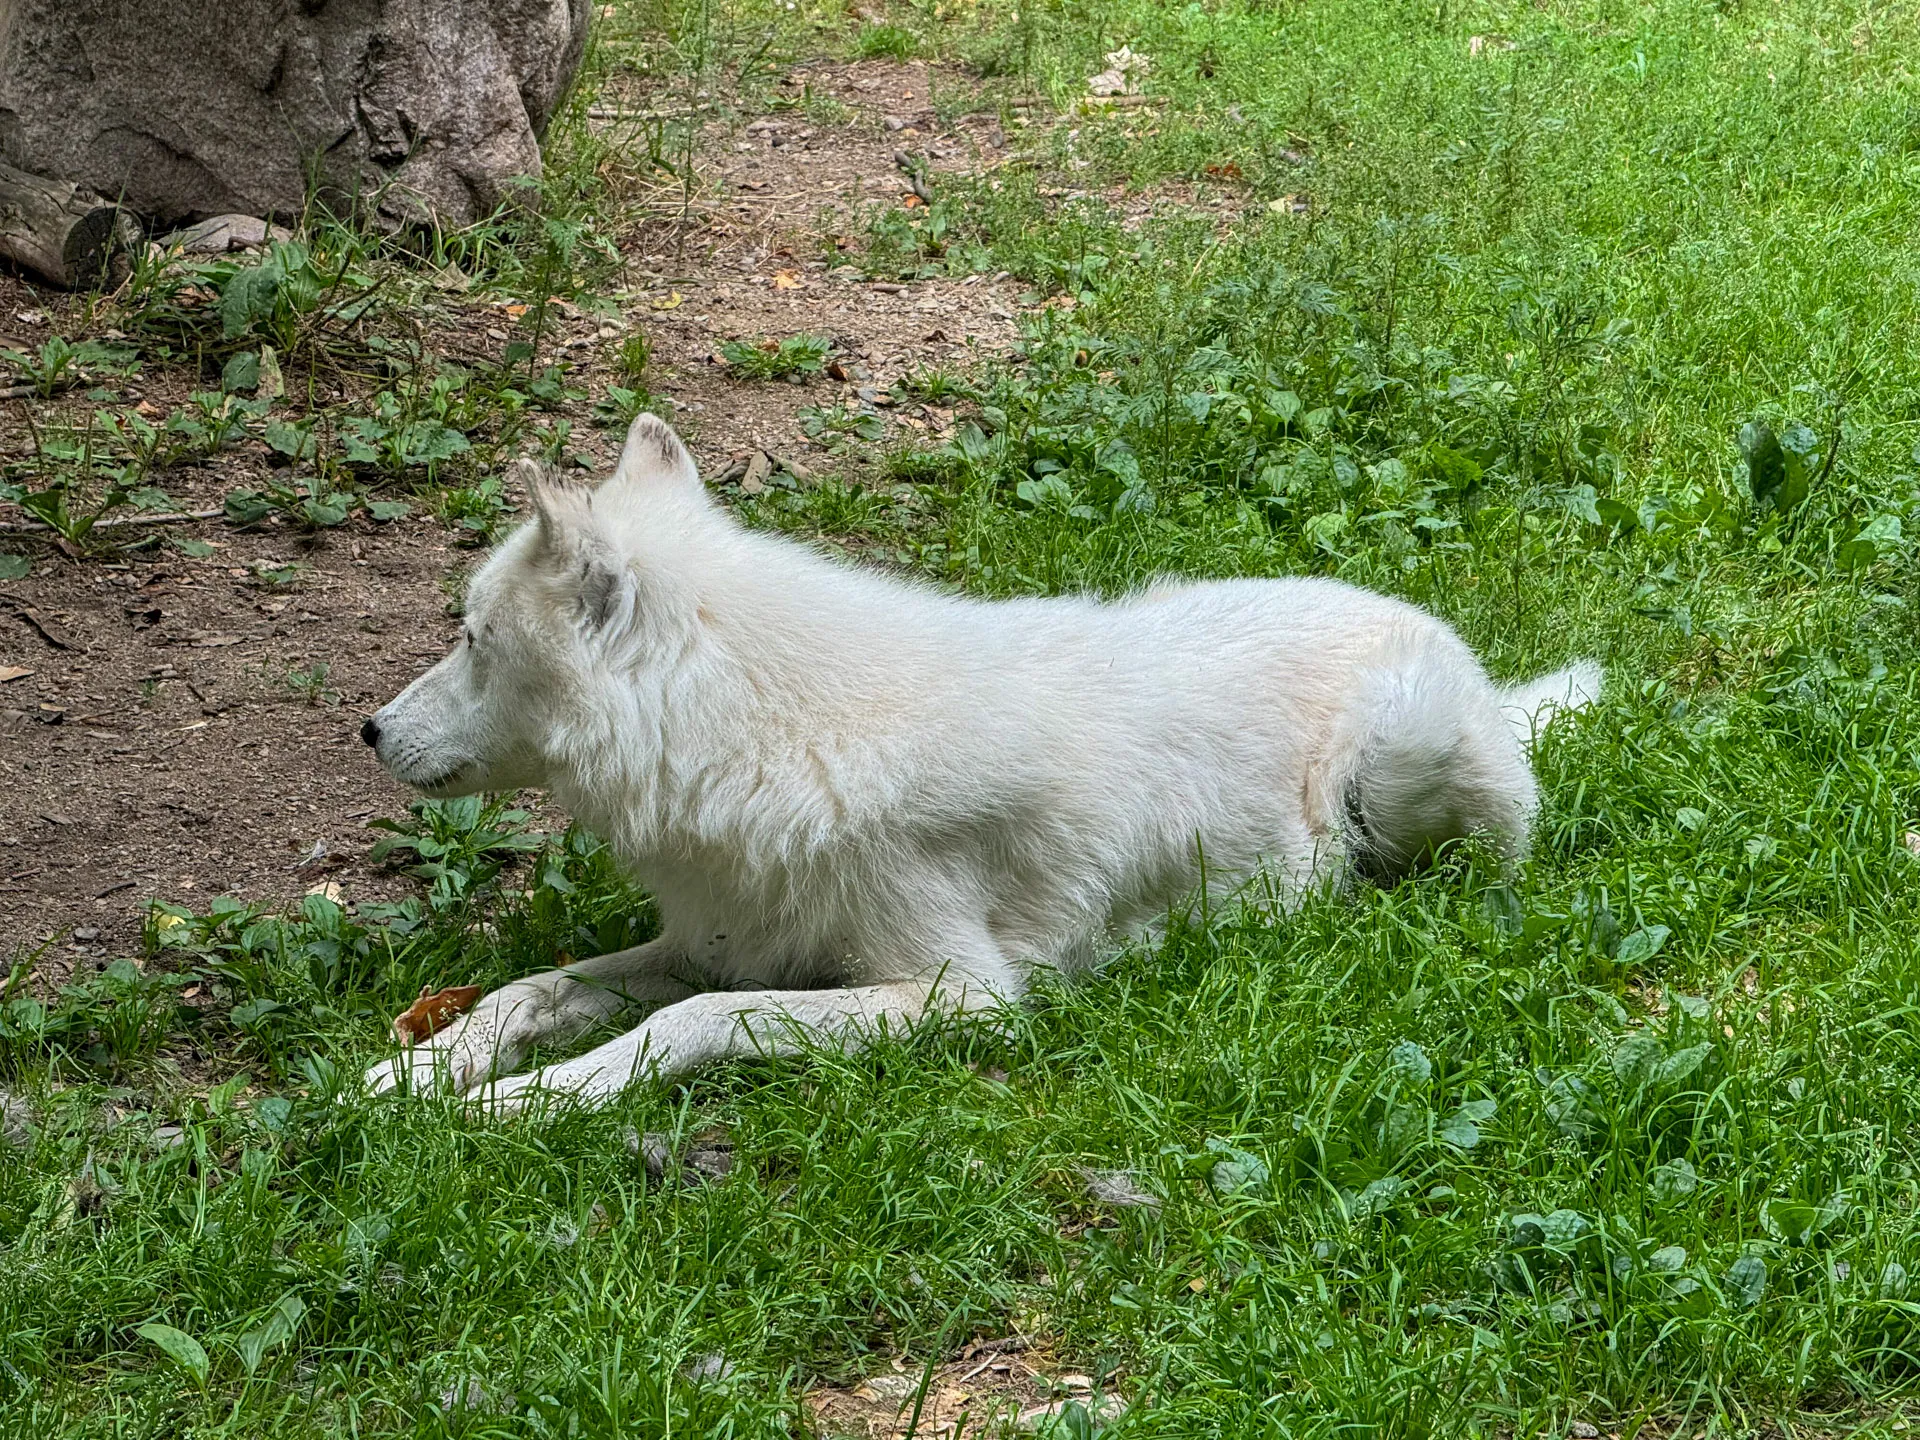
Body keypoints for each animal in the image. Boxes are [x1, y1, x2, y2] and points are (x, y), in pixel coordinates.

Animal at [361, 415, 1598, 1112]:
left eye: (470, 638)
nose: (370, 731)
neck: (760, 728)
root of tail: (1477, 671)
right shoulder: (724, 940)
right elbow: (535, 988)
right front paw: (418, 1074)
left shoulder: (964, 997)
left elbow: (689, 1025)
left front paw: (515, 1107)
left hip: (1394, 755)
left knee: (1490, 850)